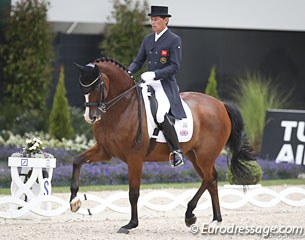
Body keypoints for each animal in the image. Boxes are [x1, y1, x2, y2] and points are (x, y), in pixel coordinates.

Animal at [69, 57, 254, 233]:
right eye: (81, 87)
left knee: (210, 178)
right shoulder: (105, 151)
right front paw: (74, 201)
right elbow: (77, 161)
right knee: (210, 181)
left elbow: (133, 192)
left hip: (205, 156)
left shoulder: (135, 158)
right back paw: (210, 219)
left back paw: (196, 215)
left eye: (96, 86)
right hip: (194, 155)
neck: (122, 108)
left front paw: (130, 224)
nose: (90, 117)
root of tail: (221, 104)